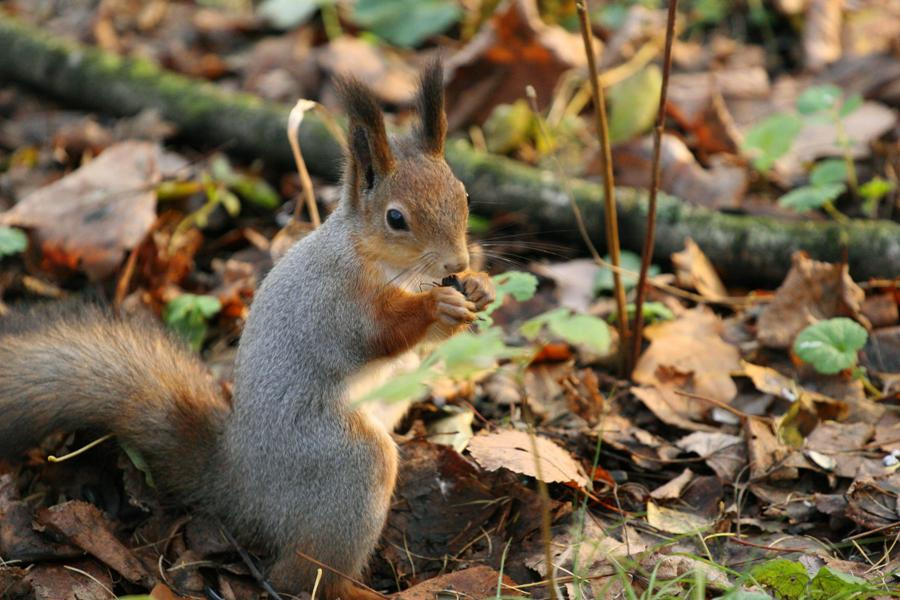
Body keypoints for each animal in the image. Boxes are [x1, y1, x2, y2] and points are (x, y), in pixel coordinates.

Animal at [0, 62, 495, 599]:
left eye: (464, 195)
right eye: (396, 218)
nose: (456, 263)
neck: (385, 264)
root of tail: (242, 488)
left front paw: (480, 287)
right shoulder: (335, 303)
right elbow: (378, 334)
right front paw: (436, 305)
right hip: (343, 461)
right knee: (300, 576)